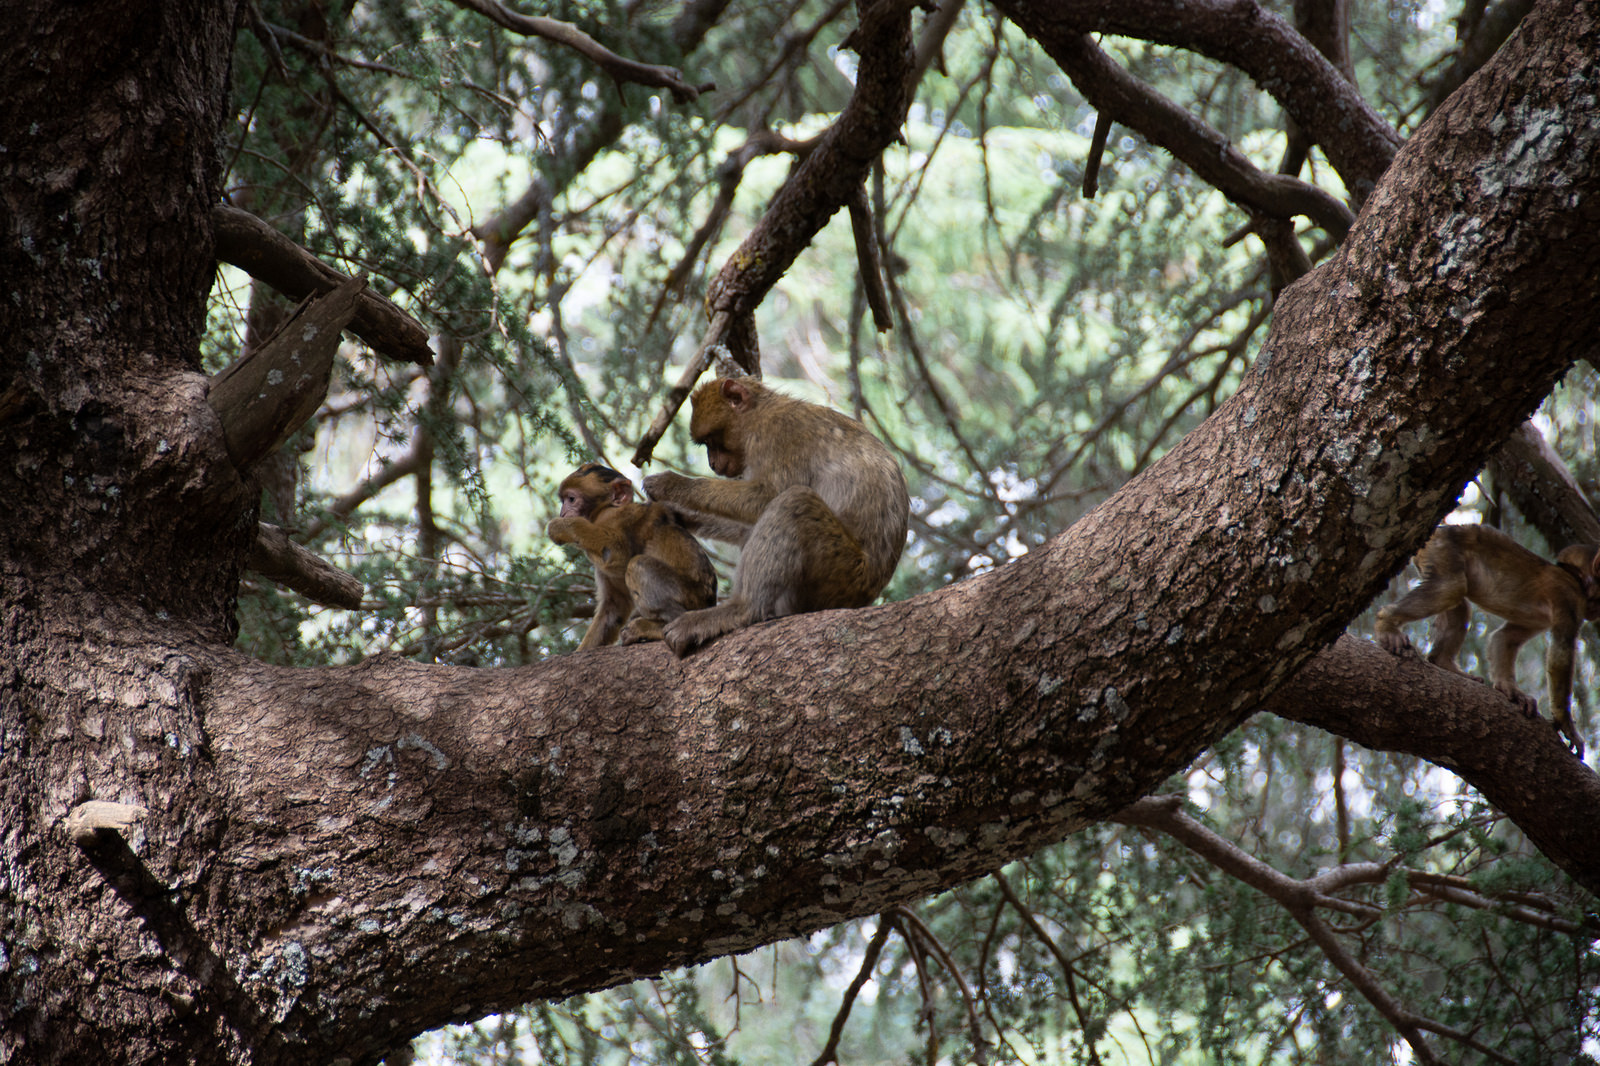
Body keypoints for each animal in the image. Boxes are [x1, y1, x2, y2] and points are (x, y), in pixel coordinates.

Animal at [547, 464, 716, 646]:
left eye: (571, 499)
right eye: (563, 501)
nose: (563, 513)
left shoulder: (613, 516)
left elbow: (618, 553)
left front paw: (562, 527)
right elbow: (614, 607)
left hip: (690, 597)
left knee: (638, 564)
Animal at [640, 372, 908, 656]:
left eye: (711, 441)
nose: (712, 463)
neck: (760, 412)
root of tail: (865, 595)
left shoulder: (779, 433)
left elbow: (767, 496)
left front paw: (672, 484)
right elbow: (749, 522)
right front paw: (678, 514)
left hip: (840, 574)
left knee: (794, 502)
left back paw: (741, 609)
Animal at [1376, 521, 1600, 755]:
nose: (1597, 613)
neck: (1576, 578)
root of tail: (1439, 530)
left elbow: (1505, 638)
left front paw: (1511, 690)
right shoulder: (1569, 599)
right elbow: (1561, 654)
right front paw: (1566, 724)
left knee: (1458, 602)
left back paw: (1443, 662)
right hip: (1442, 549)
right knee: (1451, 587)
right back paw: (1386, 623)